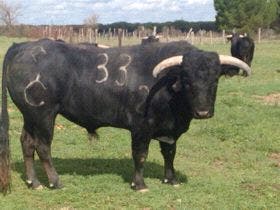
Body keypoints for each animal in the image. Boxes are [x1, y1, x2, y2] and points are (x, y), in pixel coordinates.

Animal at [0, 38, 250, 193]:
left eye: (215, 79)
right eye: (187, 79)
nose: (203, 112)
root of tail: (24, 46)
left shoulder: (170, 131)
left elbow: (170, 154)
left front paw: (171, 180)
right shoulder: (141, 127)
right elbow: (140, 155)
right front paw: (139, 184)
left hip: (30, 116)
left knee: (27, 142)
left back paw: (34, 182)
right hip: (44, 114)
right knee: (43, 146)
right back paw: (55, 182)